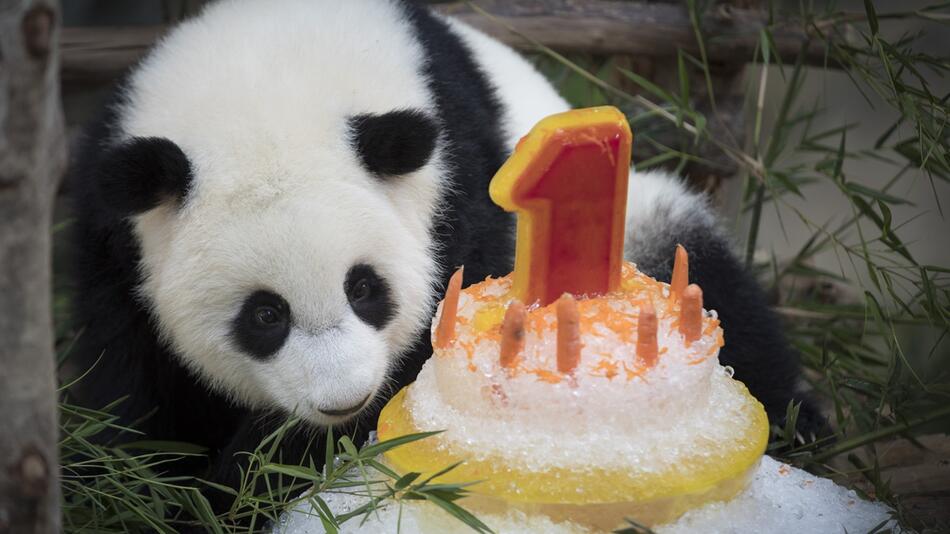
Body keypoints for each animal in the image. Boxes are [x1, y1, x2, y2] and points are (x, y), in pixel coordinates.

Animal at [69, 0, 824, 516]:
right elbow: (123, 385)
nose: (342, 399)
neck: (262, 87)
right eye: (264, 315)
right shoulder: (111, 232)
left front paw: (250, 484)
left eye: (364, 288)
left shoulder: (457, 180)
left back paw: (802, 426)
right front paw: (146, 493)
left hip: (644, 219)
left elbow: (421, 354)